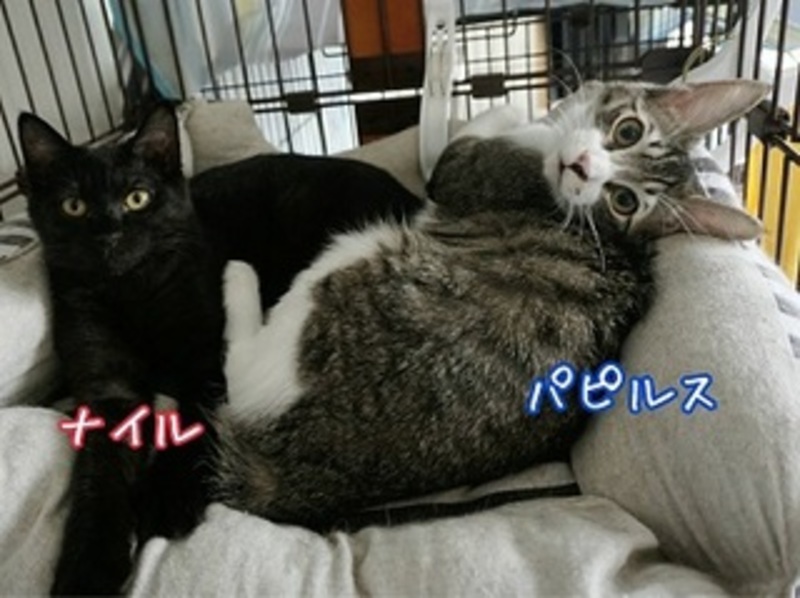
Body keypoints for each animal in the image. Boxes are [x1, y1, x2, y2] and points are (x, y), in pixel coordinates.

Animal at [17, 107, 422, 595]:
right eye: (73, 206)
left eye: (137, 198)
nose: (108, 234)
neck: (133, 295)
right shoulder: (105, 389)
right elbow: (98, 480)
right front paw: (87, 570)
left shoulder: (204, 363)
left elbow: (190, 422)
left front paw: (165, 498)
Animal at [213, 79, 766, 531]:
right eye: (628, 131)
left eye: (624, 201)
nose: (581, 168)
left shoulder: (467, 171)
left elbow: (473, 135)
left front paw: (518, 106)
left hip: (345, 271)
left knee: (240, 368)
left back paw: (238, 278)